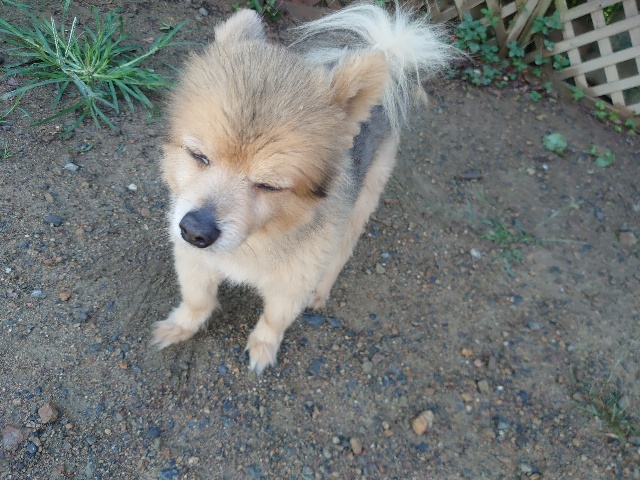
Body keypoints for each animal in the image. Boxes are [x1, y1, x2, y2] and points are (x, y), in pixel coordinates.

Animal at [152, 3, 453, 373]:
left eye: (269, 185)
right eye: (198, 156)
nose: (196, 230)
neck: (256, 240)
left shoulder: (291, 285)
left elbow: (274, 320)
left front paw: (263, 348)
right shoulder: (193, 259)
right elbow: (197, 299)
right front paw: (181, 326)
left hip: (363, 201)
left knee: (341, 250)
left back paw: (321, 291)